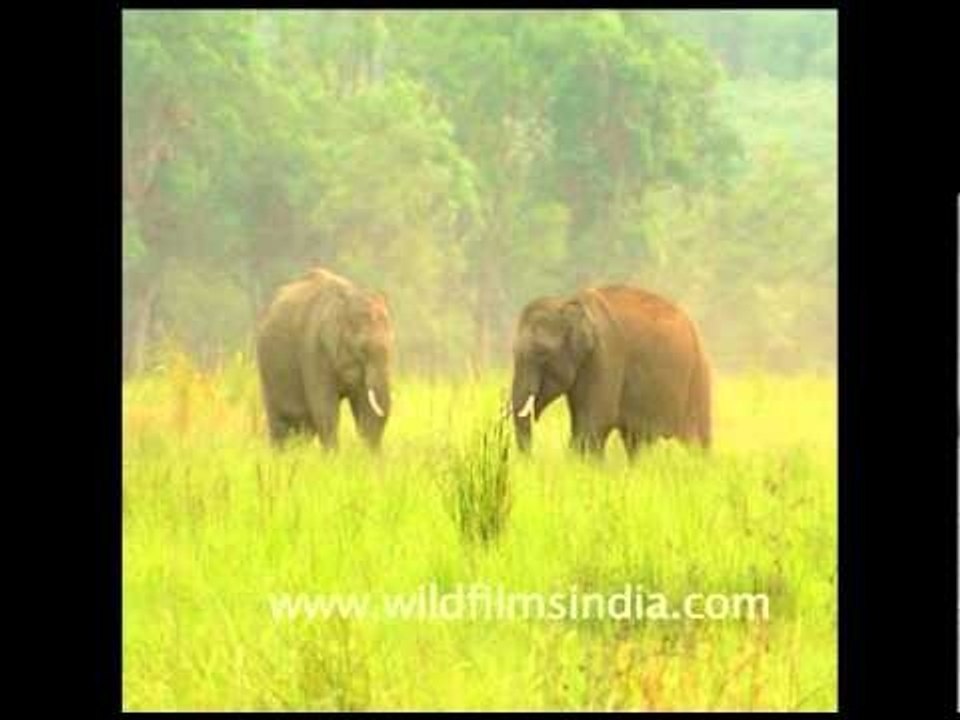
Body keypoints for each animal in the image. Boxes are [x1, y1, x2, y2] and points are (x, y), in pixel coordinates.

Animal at [255, 267, 394, 451]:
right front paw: (333, 456)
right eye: (362, 349)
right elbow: (325, 409)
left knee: (305, 426)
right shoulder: (314, 350)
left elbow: (365, 407)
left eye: (392, 346)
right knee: (280, 421)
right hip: (267, 370)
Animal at [510, 284, 711, 459]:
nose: (531, 461)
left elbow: (596, 422)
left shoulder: (606, 355)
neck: (570, 303)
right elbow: (580, 424)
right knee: (637, 441)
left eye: (542, 353)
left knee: (697, 440)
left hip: (698, 375)